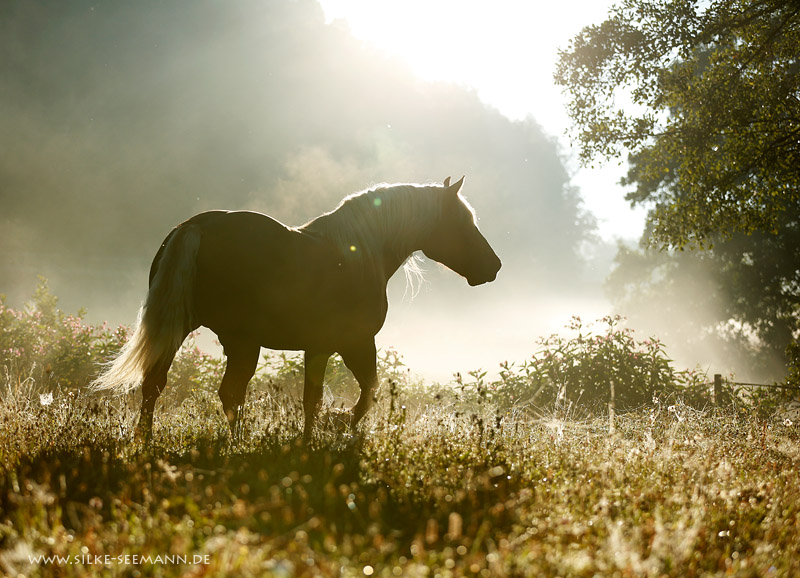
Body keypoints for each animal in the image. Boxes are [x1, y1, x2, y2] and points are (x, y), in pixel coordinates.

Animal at [92, 176, 500, 436]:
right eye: (463, 221)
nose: (493, 266)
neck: (358, 254)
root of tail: (195, 227)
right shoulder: (350, 343)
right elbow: (356, 394)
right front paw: (335, 430)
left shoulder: (324, 348)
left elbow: (323, 398)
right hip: (242, 341)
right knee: (229, 393)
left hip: (185, 330)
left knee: (156, 385)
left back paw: (146, 442)